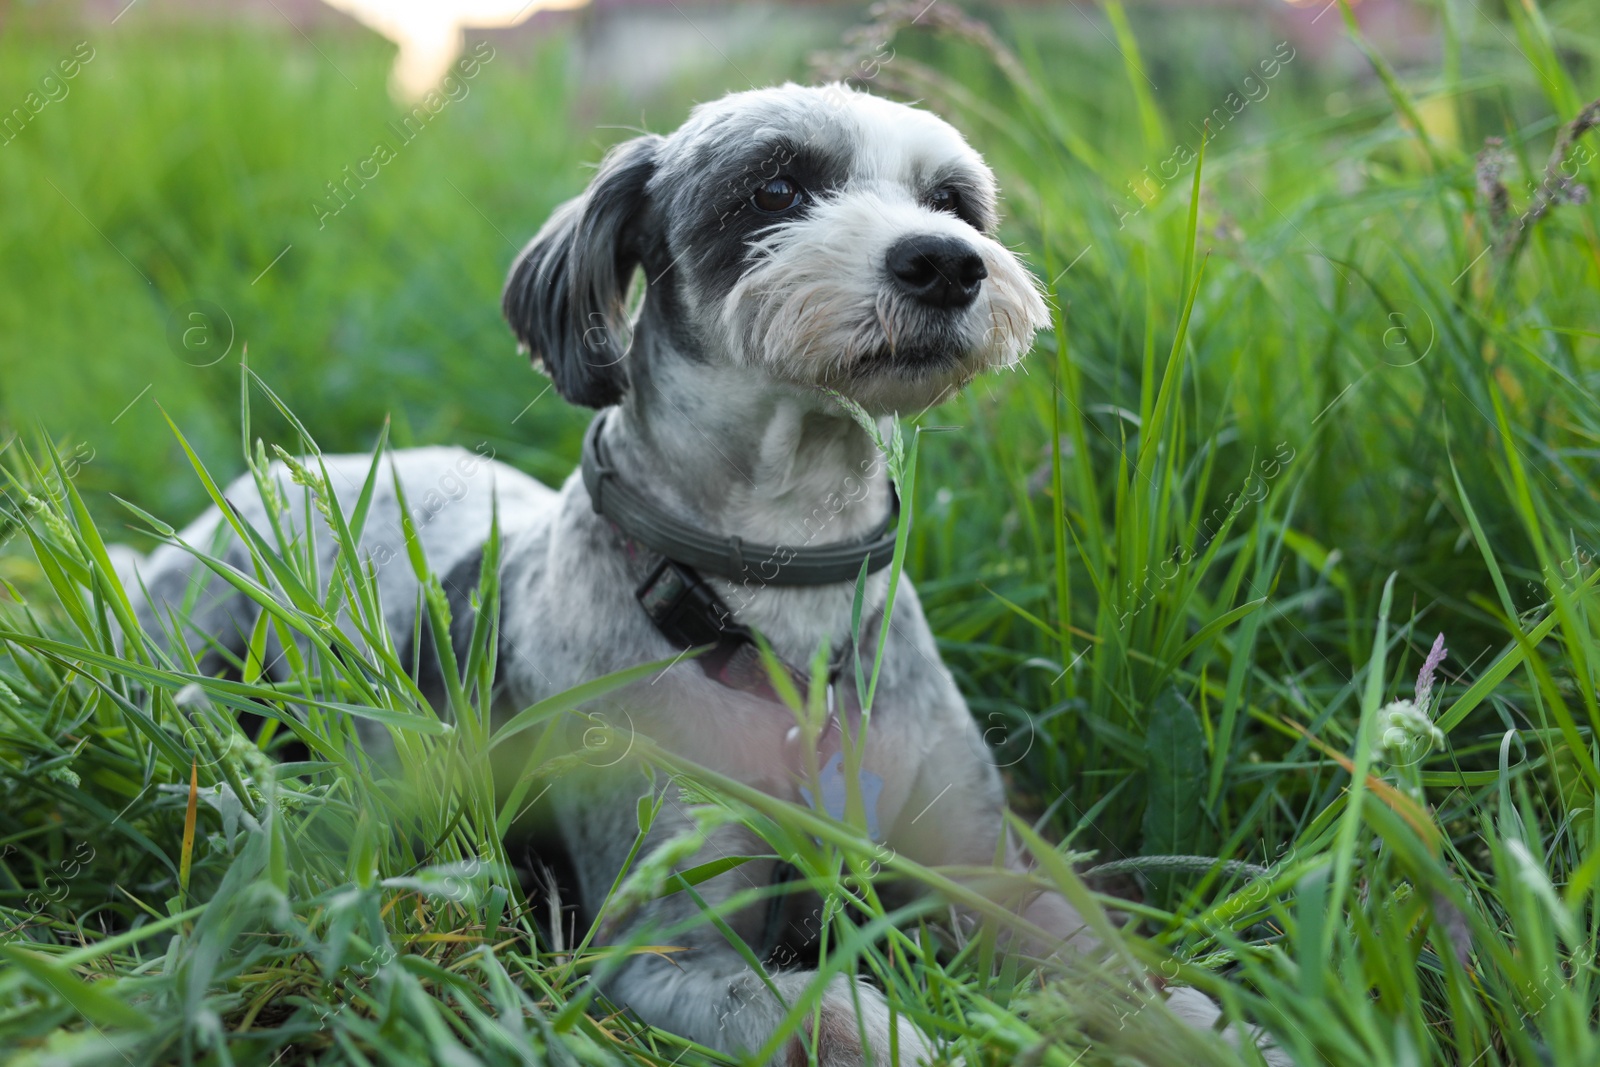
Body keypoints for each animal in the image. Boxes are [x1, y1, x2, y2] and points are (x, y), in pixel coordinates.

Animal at [118, 85, 1280, 1067]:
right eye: (773, 187)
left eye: (954, 201)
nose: (948, 262)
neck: (779, 595)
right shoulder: (661, 945)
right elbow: (839, 1013)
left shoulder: (980, 866)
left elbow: (1112, 968)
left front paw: (1220, 1028)